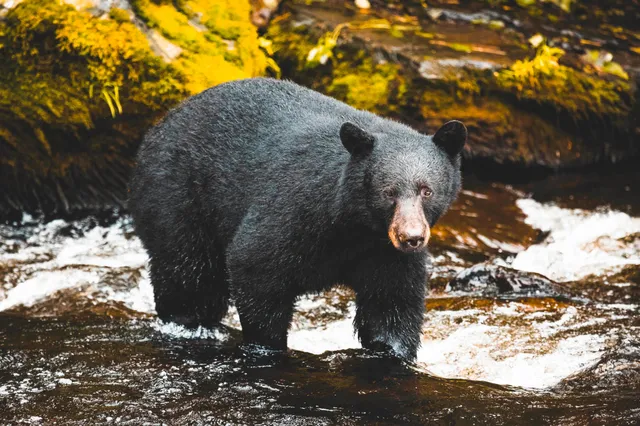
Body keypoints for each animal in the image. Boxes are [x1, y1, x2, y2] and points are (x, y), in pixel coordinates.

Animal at [128, 78, 466, 360]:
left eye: (426, 190)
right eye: (389, 192)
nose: (411, 237)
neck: (353, 225)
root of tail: (159, 125)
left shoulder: (383, 252)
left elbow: (391, 302)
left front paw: (393, 351)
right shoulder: (294, 209)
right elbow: (255, 263)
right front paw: (268, 346)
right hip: (178, 197)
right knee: (189, 274)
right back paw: (188, 322)